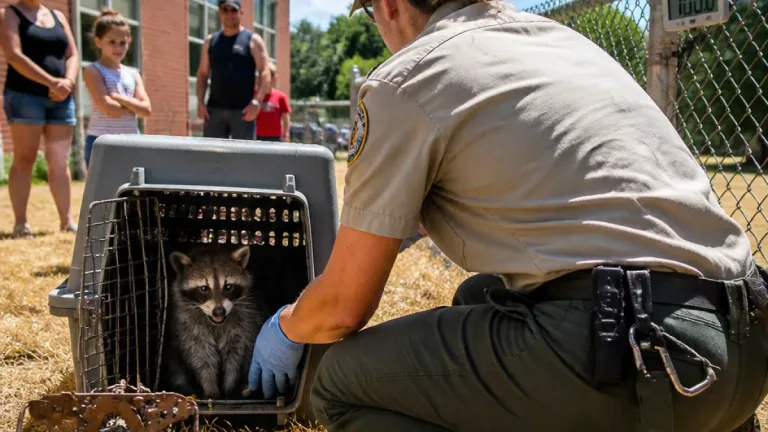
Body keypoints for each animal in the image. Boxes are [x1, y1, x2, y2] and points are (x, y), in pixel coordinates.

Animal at [160, 244, 270, 400]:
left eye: (228, 287)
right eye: (204, 288)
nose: (219, 311)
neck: (215, 322)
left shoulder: (245, 323)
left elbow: (235, 355)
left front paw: (230, 387)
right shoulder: (188, 326)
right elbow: (201, 355)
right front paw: (210, 387)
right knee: (175, 365)